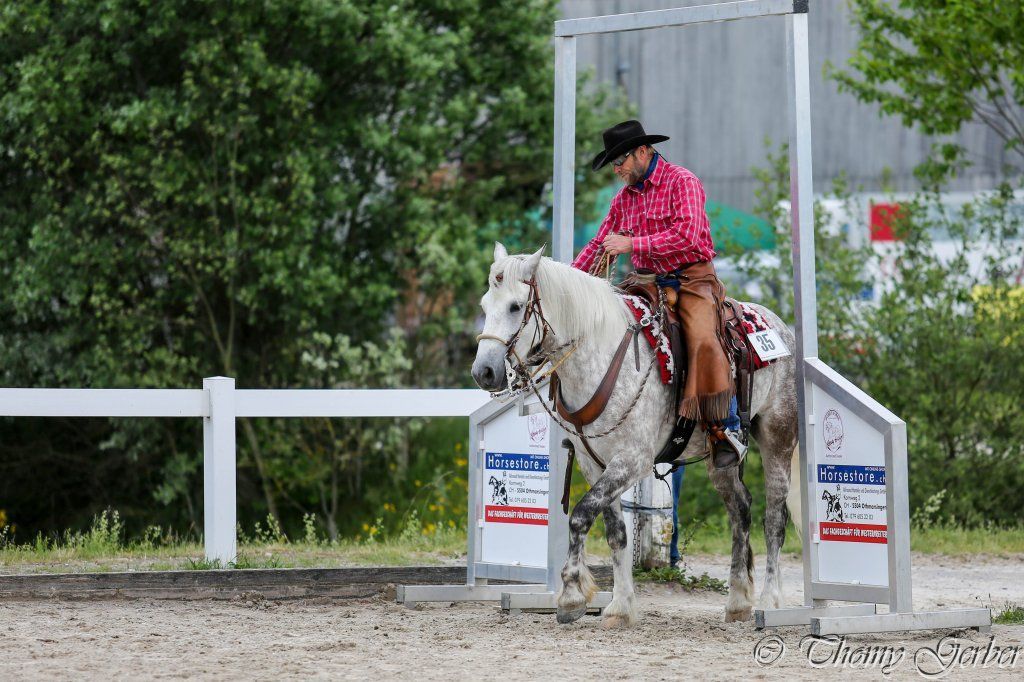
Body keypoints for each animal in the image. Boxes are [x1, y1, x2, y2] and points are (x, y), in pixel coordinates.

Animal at [472, 244, 802, 628]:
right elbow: (616, 532)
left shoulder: (632, 460)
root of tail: (782, 328)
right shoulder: (594, 463)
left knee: (774, 518)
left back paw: (769, 601)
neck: (601, 356)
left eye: (515, 306)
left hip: (778, 436)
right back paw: (737, 601)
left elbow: (581, 514)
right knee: (741, 509)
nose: (484, 372)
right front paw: (620, 606)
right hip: (721, 461)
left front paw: (571, 595)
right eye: (484, 305)